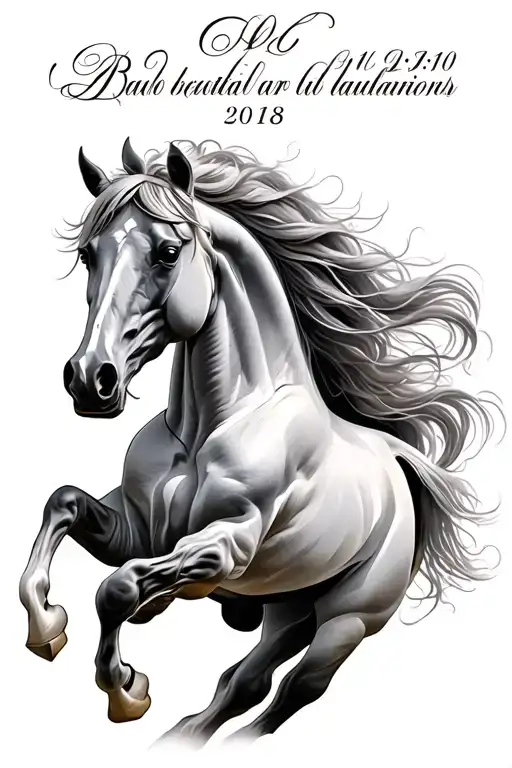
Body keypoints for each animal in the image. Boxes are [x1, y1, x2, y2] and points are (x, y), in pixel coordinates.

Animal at [19, 138, 497, 744]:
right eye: (88, 255)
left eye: (168, 251)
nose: (89, 379)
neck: (209, 429)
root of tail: (398, 463)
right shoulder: (136, 531)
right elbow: (62, 505)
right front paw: (47, 627)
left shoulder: (227, 546)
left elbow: (117, 589)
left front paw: (128, 691)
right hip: (288, 607)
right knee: (243, 682)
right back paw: (177, 737)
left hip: (344, 620)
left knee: (290, 689)